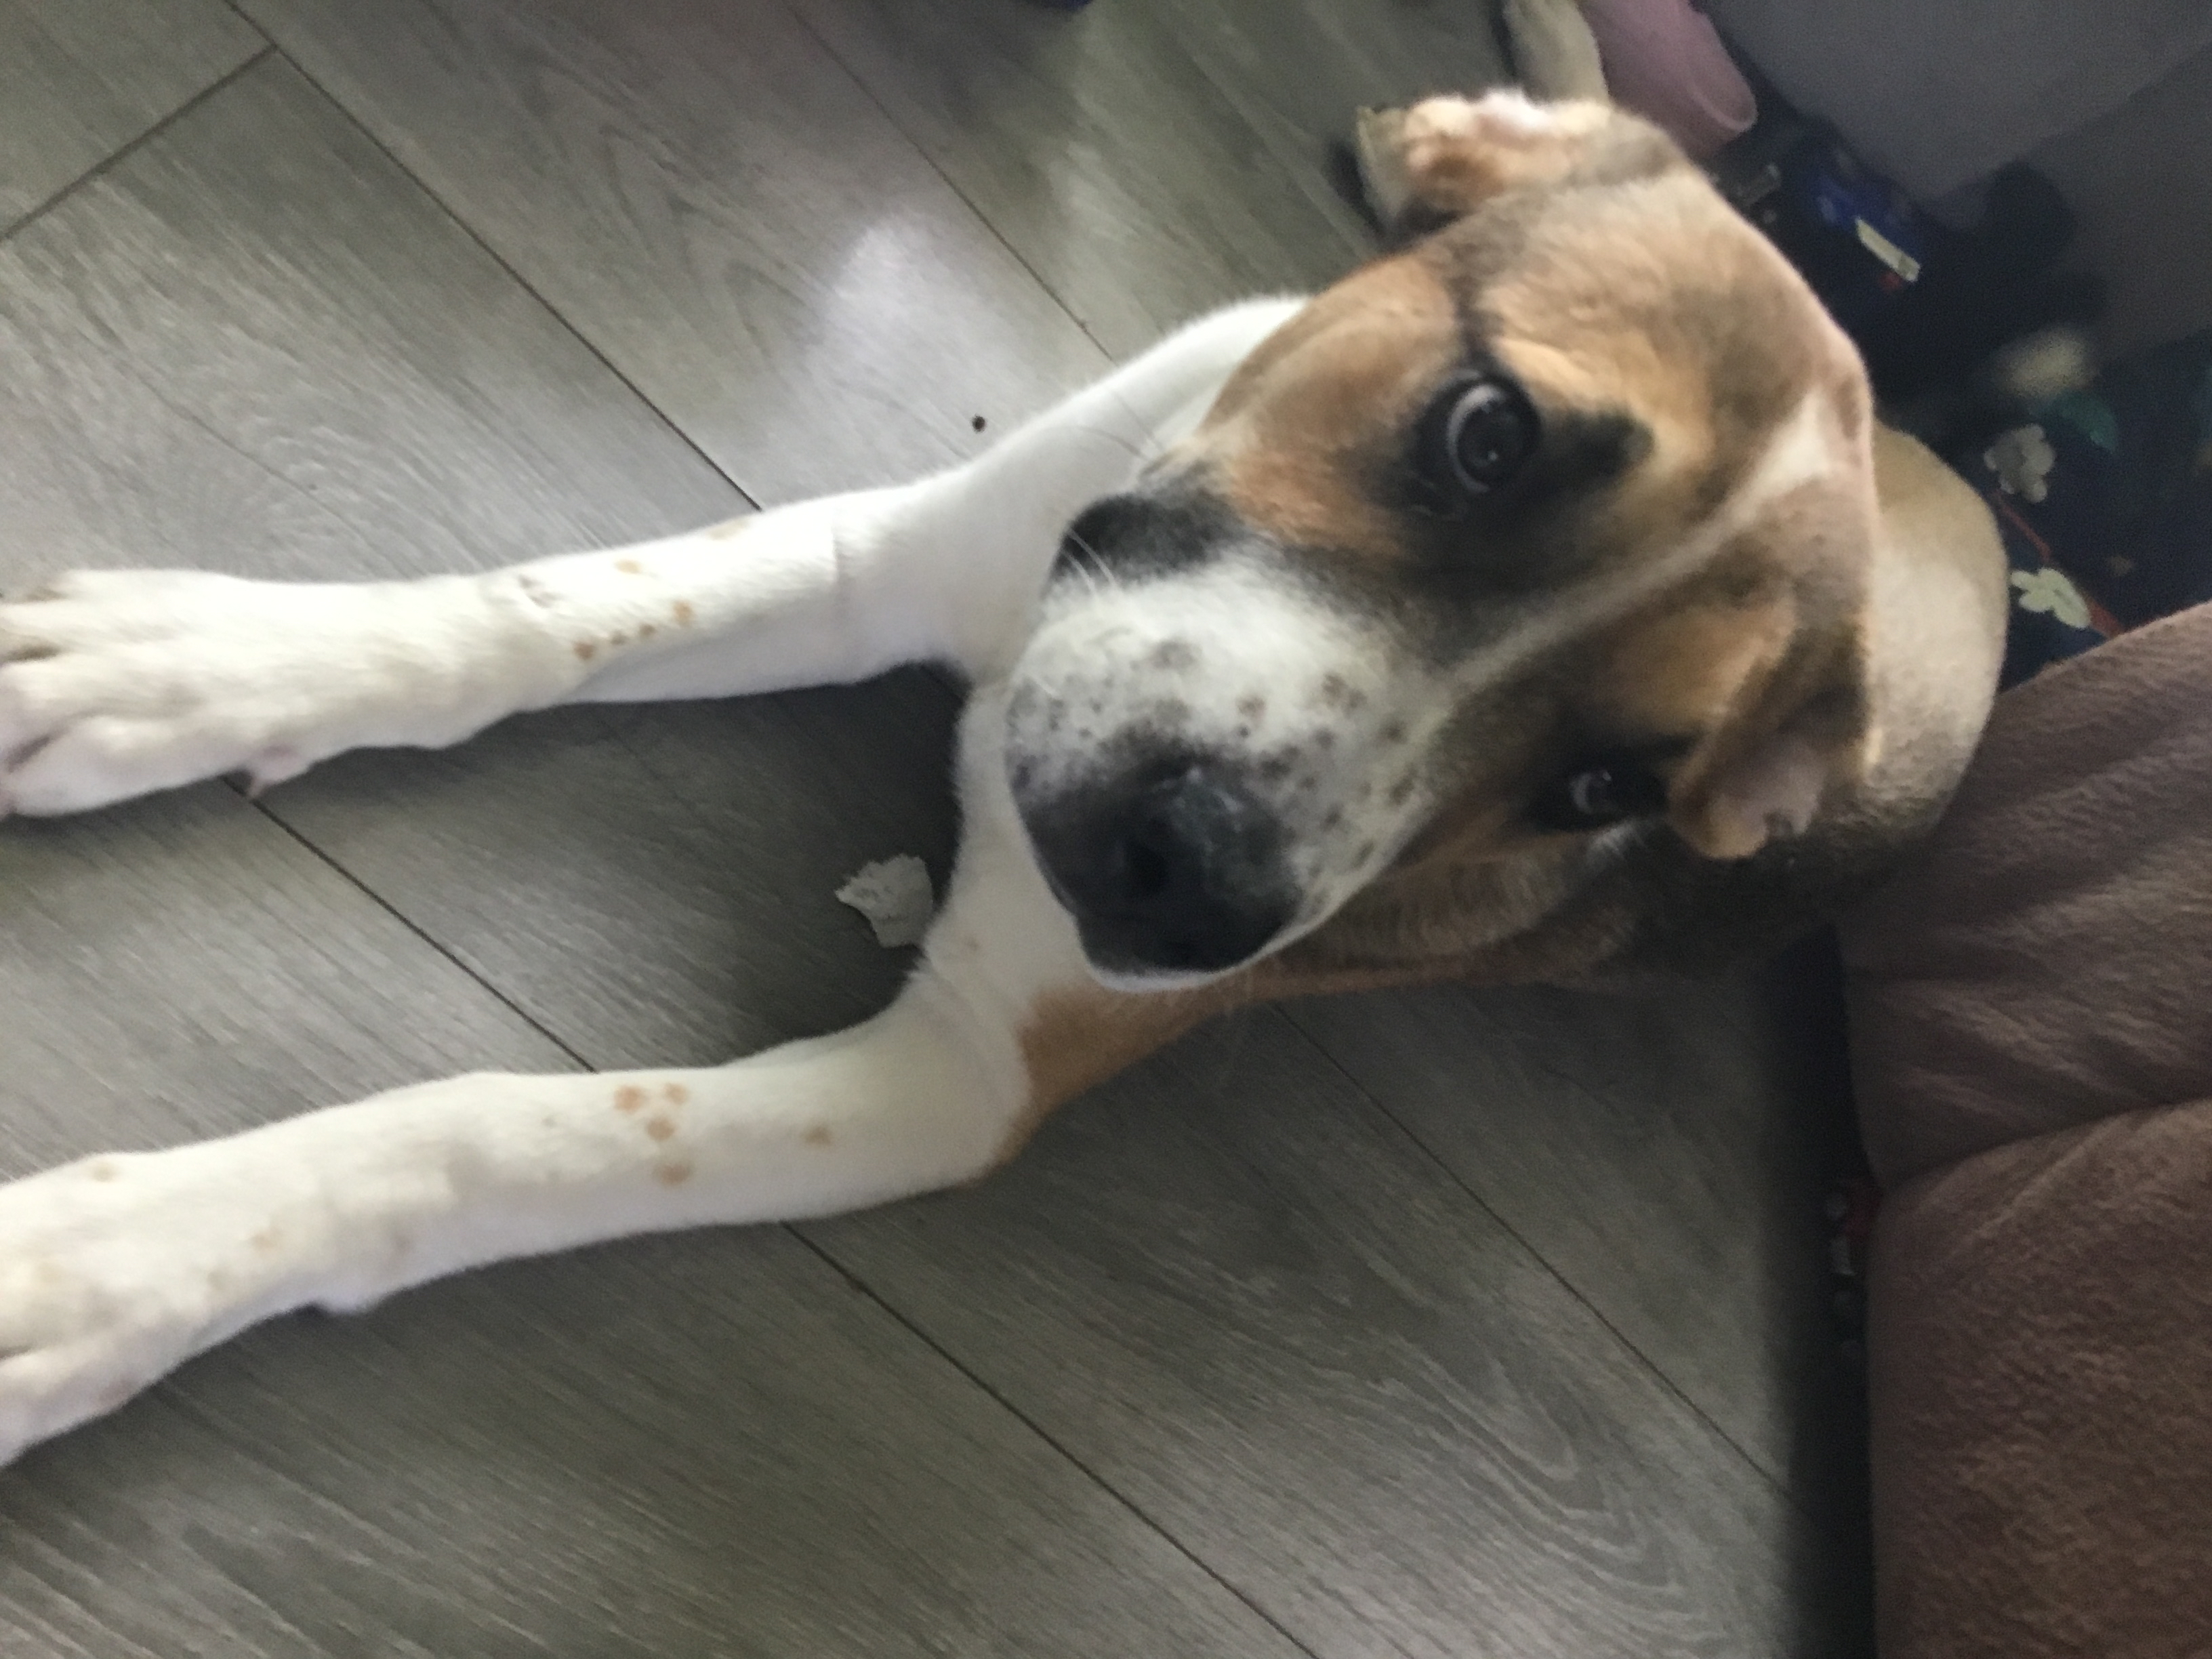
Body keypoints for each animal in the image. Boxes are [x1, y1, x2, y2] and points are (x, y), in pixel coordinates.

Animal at [0, 92, 2007, 1466]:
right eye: (1486, 433)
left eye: (1602, 793)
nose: (1191, 886)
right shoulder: (896, 555)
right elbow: (546, 612)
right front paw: (198, 665)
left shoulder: (960, 1079)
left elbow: (500, 1126)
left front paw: (111, 1267)